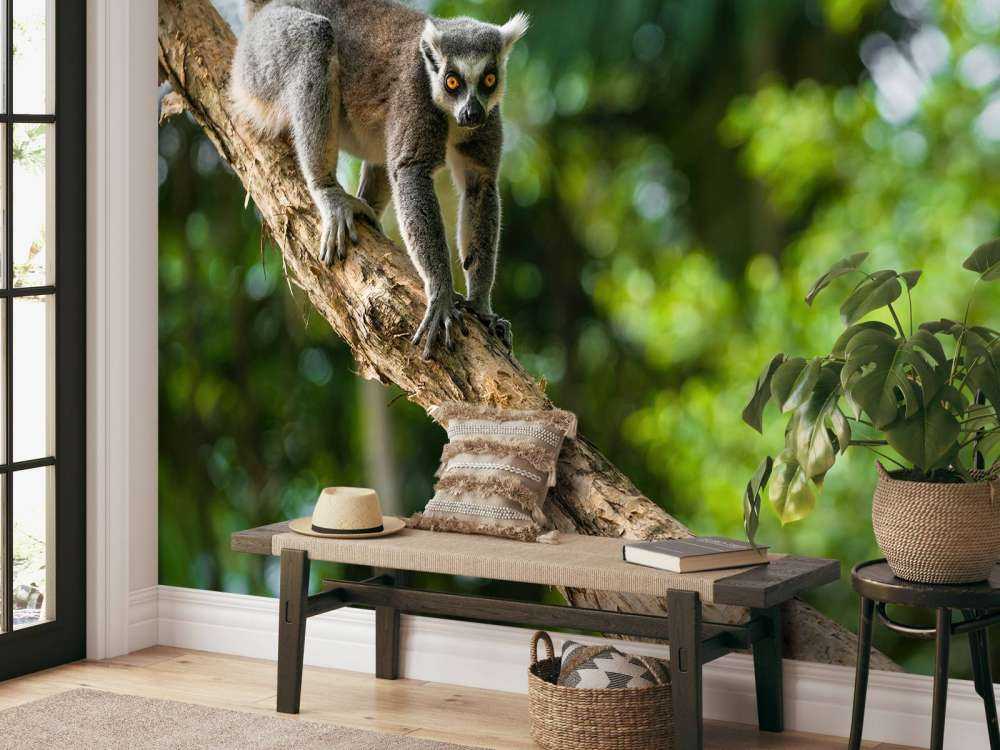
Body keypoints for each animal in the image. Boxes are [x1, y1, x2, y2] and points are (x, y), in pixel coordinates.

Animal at [231, 0, 528, 358]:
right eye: (452, 82)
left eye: (489, 78)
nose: (471, 114)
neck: (449, 115)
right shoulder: (414, 93)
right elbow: (411, 171)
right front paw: (441, 293)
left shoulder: (488, 117)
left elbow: (479, 185)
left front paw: (481, 306)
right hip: (259, 60)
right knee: (314, 38)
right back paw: (327, 190)